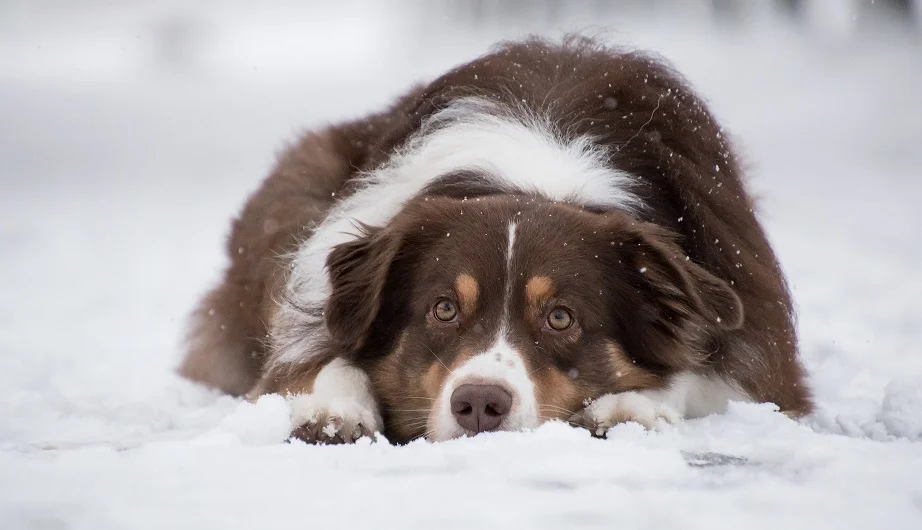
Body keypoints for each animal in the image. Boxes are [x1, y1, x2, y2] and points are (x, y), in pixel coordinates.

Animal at [176, 36, 808, 442]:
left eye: (561, 317)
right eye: (443, 309)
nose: (480, 403)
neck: (537, 176)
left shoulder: (760, 342)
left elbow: (704, 374)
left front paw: (631, 405)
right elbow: (320, 358)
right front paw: (335, 408)